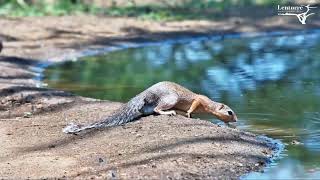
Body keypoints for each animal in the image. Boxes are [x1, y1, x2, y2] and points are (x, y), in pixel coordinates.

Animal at [63, 81, 238, 134]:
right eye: (230, 112)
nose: (236, 120)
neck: (210, 104)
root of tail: (145, 94)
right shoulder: (200, 99)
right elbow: (193, 105)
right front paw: (189, 113)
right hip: (171, 98)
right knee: (156, 110)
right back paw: (169, 112)